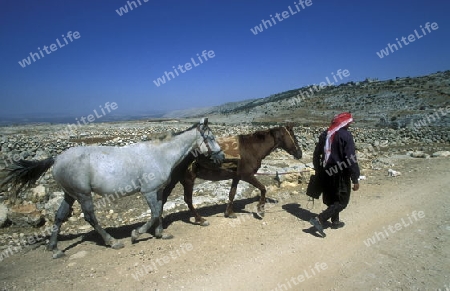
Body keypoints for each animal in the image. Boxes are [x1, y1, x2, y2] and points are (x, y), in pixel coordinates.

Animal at [0, 117, 224, 258]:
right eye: (211, 138)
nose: (221, 156)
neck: (159, 155)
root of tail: (57, 158)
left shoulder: (158, 191)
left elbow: (158, 212)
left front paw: (161, 234)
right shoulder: (149, 192)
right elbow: (153, 215)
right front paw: (136, 234)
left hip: (69, 194)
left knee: (59, 216)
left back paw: (54, 249)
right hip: (83, 194)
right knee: (90, 217)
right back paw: (112, 242)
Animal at [163, 125, 302, 226]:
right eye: (293, 136)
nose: (299, 153)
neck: (251, 149)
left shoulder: (237, 177)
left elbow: (232, 194)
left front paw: (229, 213)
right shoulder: (247, 175)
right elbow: (263, 188)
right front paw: (260, 209)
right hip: (188, 179)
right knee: (187, 200)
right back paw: (200, 220)